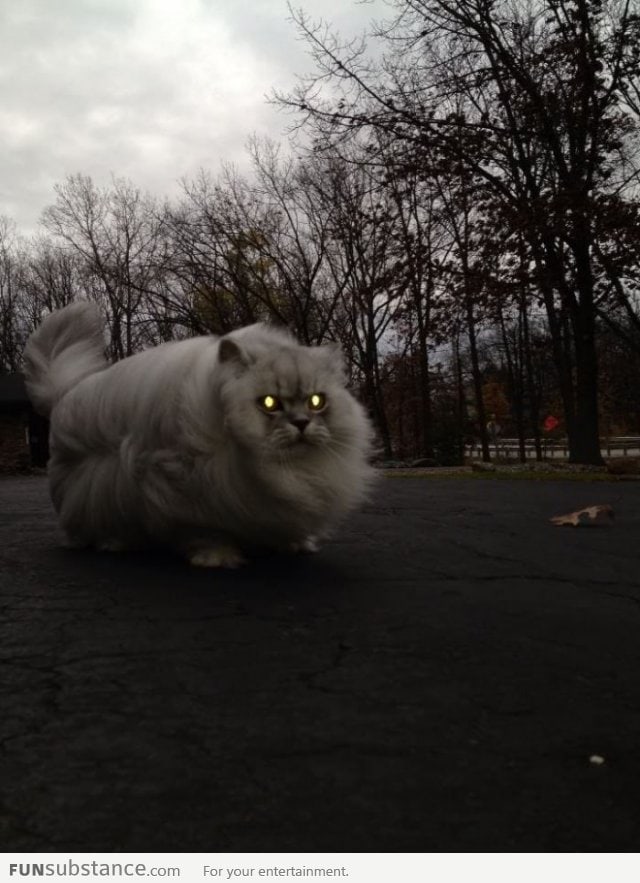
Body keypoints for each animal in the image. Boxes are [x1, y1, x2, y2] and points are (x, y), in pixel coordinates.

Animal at [25, 304, 376, 568]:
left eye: (317, 401)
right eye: (269, 403)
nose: (301, 423)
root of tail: (66, 395)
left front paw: (295, 544)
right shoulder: (181, 484)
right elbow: (205, 529)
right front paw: (217, 557)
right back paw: (115, 543)